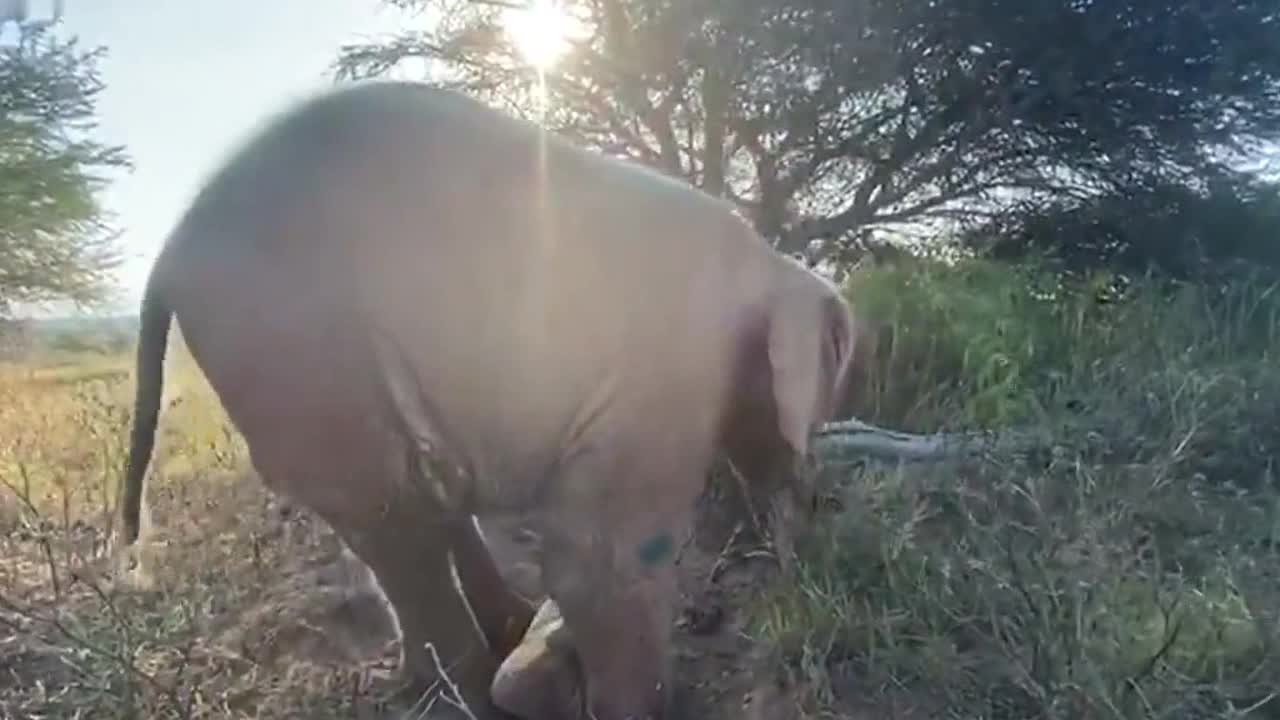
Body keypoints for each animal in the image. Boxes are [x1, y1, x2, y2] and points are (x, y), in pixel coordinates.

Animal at [117, 78, 860, 717]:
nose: (806, 532)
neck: (765, 260)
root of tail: (166, 257)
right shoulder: (664, 377)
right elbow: (603, 553)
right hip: (300, 362)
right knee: (397, 522)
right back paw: (468, 693)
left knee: (422, 503)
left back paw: (503, 637)